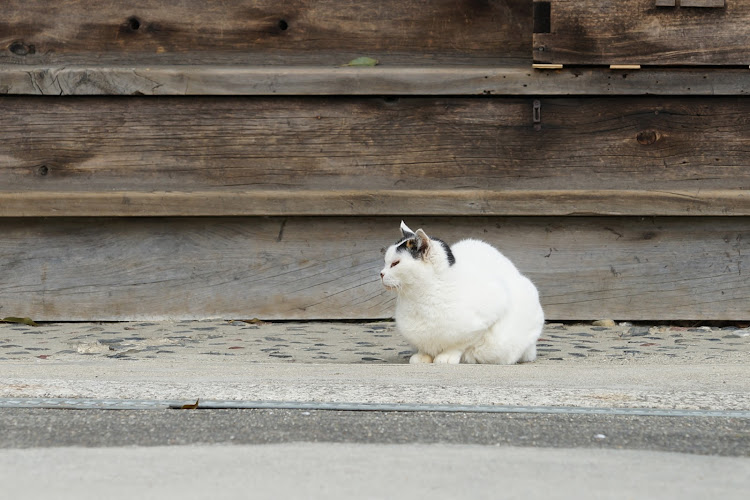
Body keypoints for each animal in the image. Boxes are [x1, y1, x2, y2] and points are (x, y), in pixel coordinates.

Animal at [382, 222, 548, 364]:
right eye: (386, 262)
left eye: (395, 263)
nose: (381, 274)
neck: (418, 298)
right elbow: (424, 347)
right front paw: (422, 356)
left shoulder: (492, 310)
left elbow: (460, 344)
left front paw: (446, 357)